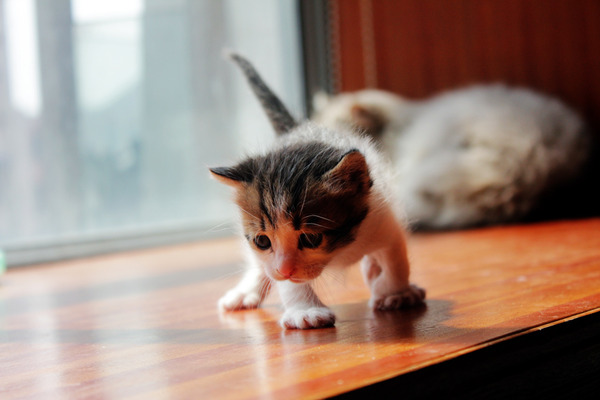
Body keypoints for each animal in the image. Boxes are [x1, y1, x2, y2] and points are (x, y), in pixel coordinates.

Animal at [213, 54, 424, 330]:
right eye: (262, 241)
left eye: (311, 238)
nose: (285, 270)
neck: (340, 251)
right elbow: (283, 279)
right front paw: (306, 311)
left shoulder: (383, 220)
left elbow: (397, 260)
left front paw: (393, 292)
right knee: (261, 266)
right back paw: (245, 292)